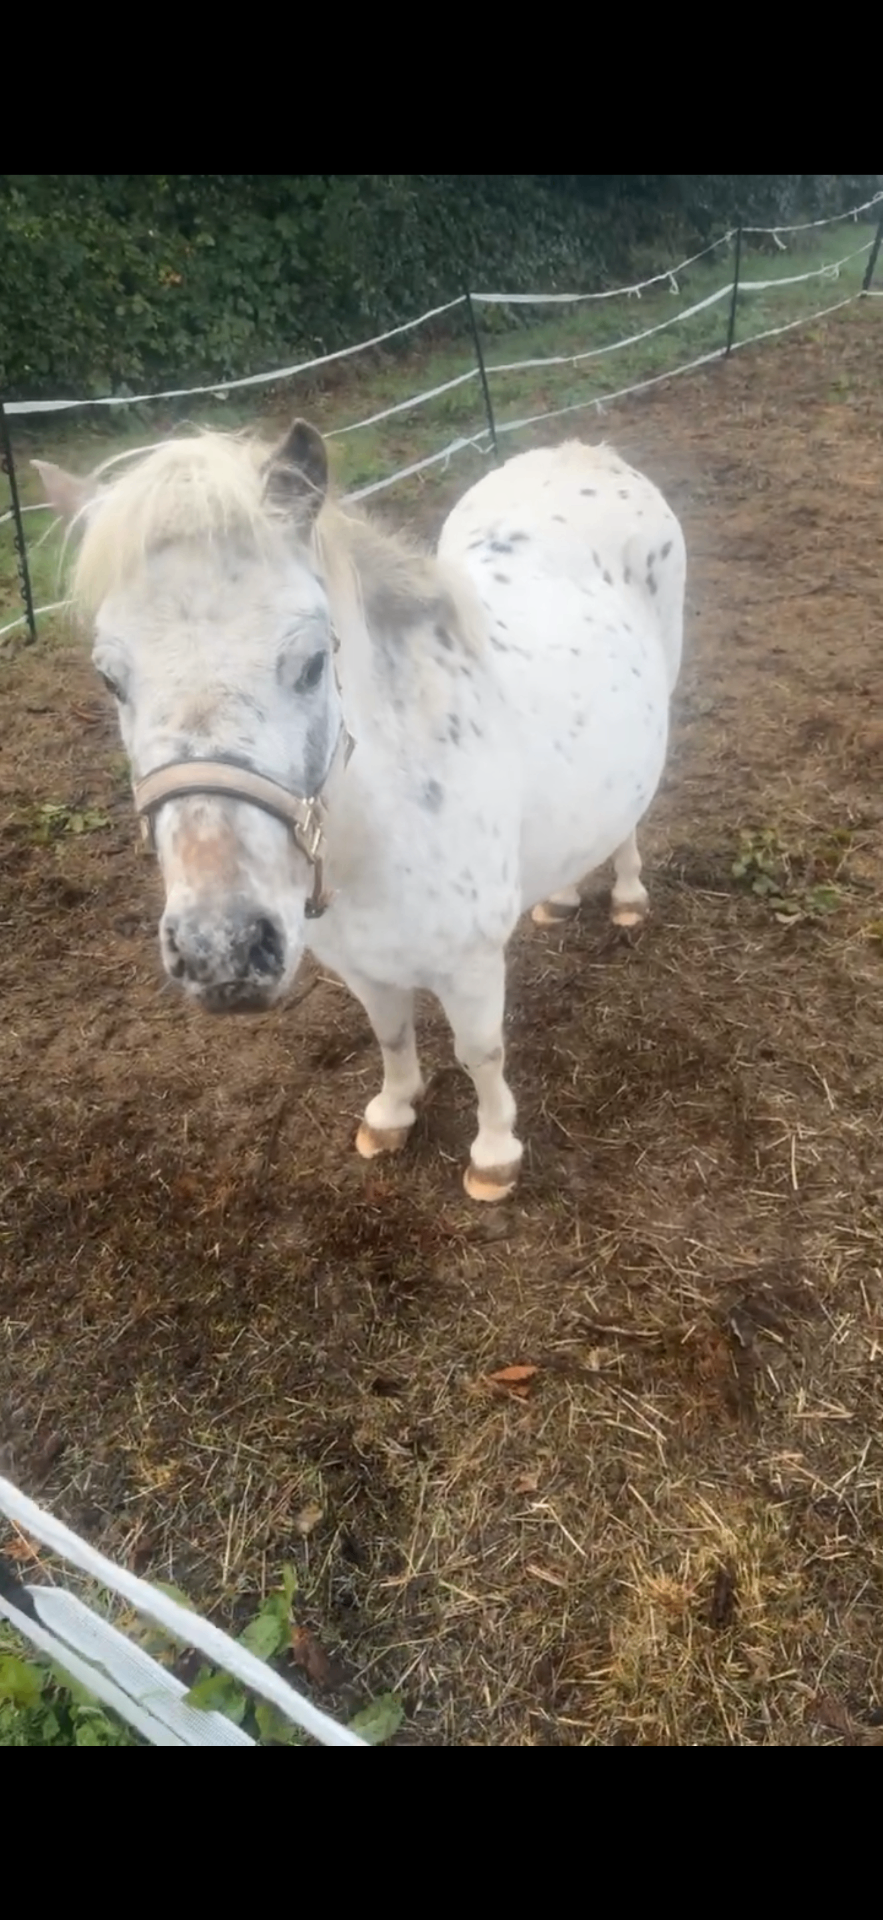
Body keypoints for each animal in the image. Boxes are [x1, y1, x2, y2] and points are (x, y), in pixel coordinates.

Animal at [34, 420, 685, 1203]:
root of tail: (581, 453)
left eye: (314, 662)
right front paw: (392, 1115)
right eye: (110, 678)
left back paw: (626, 895)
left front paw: (494, 1155)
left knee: (629, 817)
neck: (384, 828)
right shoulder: (361, 964)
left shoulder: (470, 964)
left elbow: (480, 1052)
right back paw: (558, 898)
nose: (220, 947)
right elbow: (391, 1036)